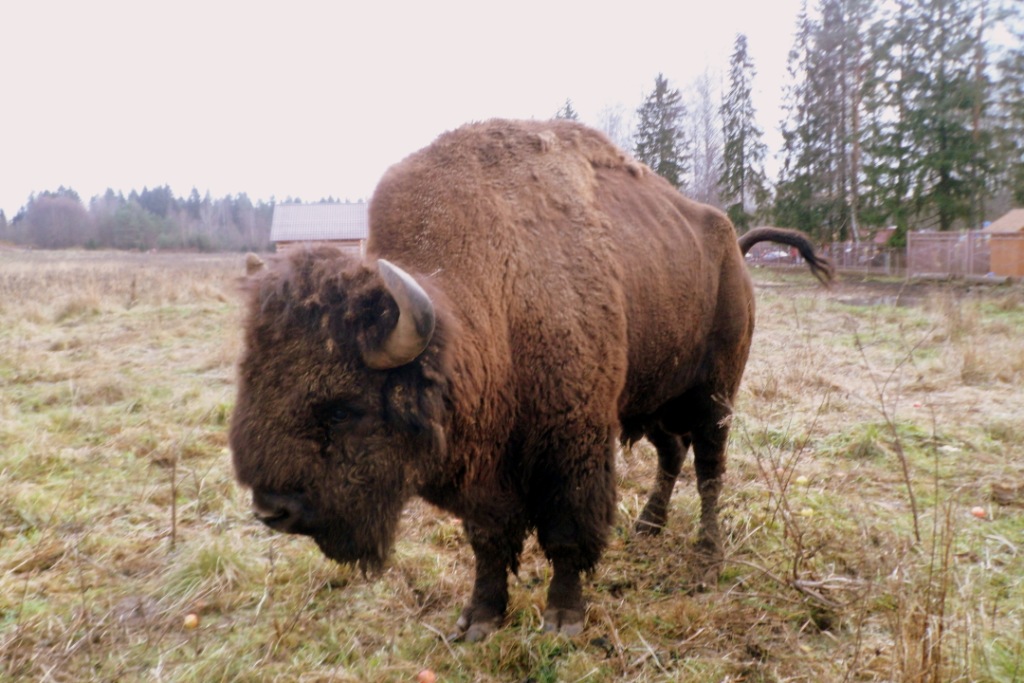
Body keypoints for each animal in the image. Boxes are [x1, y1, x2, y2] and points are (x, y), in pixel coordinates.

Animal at [232, 117, 831, 643]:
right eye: (251, 381)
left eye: (343, 407)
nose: (272, 510)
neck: (493, 295)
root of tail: (730, 241)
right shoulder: (485, 467)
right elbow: (489, 541)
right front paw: (479, 619)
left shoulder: (572, 445)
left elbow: (567, 532)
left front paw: (563, 619)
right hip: (651, 396)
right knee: (672, 451)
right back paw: (648, 526)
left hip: (714, 393)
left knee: (709, 467)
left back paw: (706, 560)